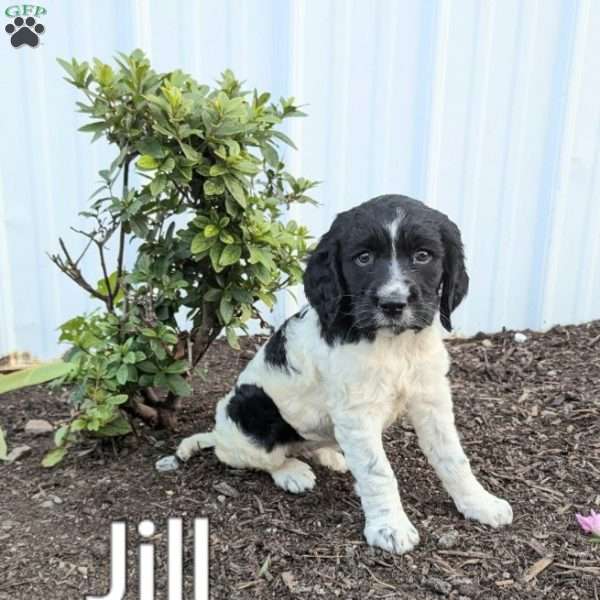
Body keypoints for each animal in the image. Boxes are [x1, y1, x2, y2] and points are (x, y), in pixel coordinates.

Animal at [177, 196, 510, 552]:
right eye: (363, 258)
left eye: (423, 255)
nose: (393, 303)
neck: (393, 344)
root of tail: (218, 433)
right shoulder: (357, 412)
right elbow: (378, 471)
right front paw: (390, 528)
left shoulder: (431, 396)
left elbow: (453, 457)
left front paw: (480, 503)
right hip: (249, 407)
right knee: (251, 456)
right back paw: (292, 471)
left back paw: (332, 456)